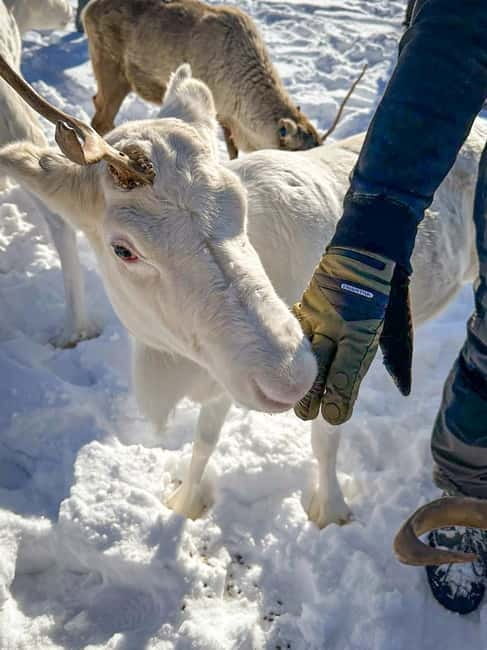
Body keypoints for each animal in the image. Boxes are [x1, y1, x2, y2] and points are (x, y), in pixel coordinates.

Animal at [0, 57, 483, 557]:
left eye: (238, 201)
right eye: (123, 250)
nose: (291, 375)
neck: (174, 364)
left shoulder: (342, 360)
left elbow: (325, 440)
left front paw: (330, 511)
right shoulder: (221, 378)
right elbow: (204, 441)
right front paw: (185, 503)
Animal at [80, 0, 321, 159]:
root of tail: (87, 10)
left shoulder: (227, 117)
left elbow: (232, 150)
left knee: (96, 102)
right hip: (111, 69)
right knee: (101, 119)